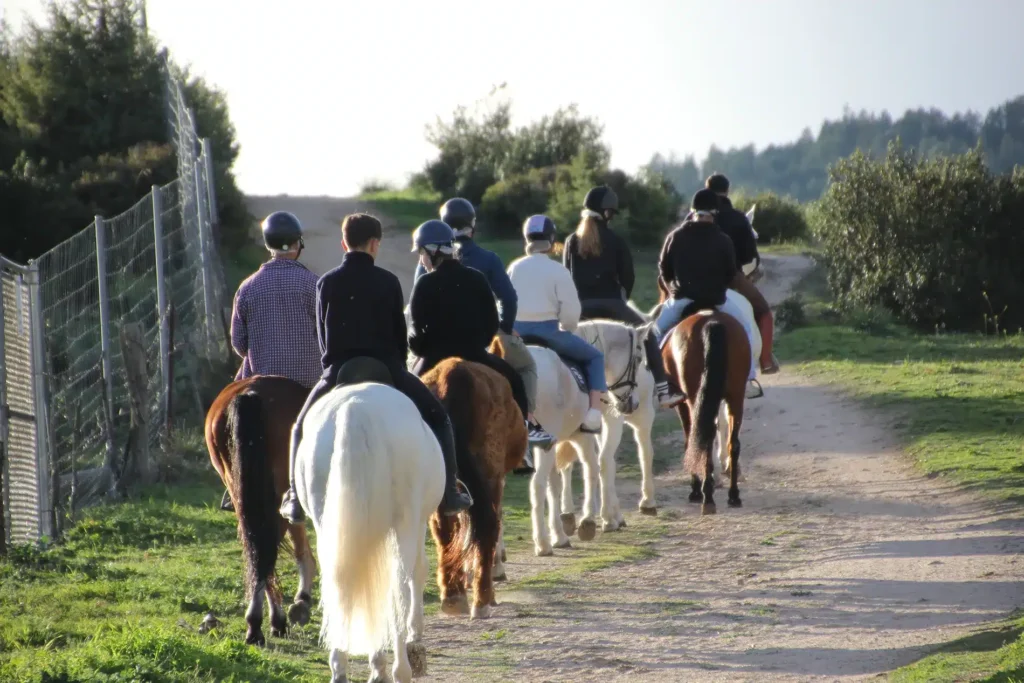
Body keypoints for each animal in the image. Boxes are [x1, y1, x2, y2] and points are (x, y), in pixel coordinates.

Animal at [204, 376, 317, 646]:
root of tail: (251, 393)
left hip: (240, 489)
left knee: (257, 546)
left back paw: (257, 624)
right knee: (268, 547)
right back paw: (276, 618)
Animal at [294, 358, 444, 683]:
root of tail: (355, 407)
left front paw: (376, 662)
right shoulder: (415, 523)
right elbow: (416, 573)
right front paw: (413, 638)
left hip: (327, 525)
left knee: (338, 585)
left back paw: (341, 667)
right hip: (404, 523)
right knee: (398, 587)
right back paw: (401, 669)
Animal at [420, 357, 528, 620]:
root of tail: (453, 372)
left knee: (445, 530)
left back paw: (453, 597)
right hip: (490, 475)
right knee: (489, 526)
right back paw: (483, 599)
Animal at [491, 319, 649, 557]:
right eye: (638, 358)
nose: (633, 404)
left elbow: (556, 484)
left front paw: (561, 531)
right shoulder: (582, 435)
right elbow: (593, 468)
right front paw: (590, 521)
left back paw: (497, 555)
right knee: (537, 486)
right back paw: (542, 544)